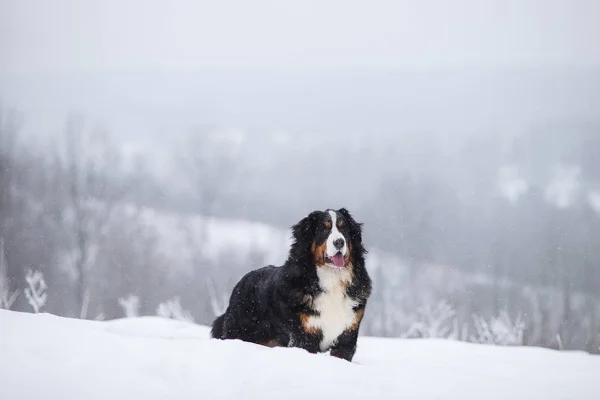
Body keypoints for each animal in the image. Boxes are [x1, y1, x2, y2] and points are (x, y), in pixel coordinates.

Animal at [210, 208, 370, 360]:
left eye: (344, 229)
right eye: (324, 229)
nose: (339, 242)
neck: (332, 280)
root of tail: (241, 281)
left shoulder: (347, 336)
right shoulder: (304, 335)